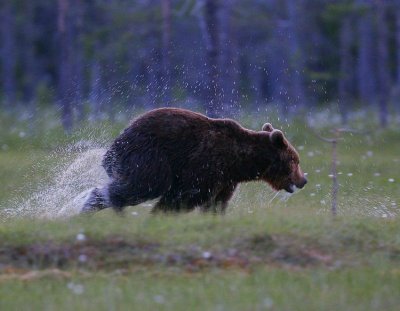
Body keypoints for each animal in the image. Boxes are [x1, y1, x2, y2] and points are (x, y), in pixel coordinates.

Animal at [80, 108, 306, 214]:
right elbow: (186, 195)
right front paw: (161, 213)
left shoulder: (226, 180)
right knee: (145, 185)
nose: (304, 180)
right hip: (149, 156)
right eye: (295, 160)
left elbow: (217, 202)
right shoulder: (205, 166)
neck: (239, 162)